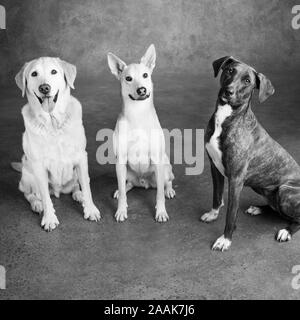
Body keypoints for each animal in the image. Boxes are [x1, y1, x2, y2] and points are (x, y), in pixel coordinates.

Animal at [12, 57, 101, 230]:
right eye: (34, 74)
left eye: (54, 71)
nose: (45, 88)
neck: (53, 123)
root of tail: (59, 191)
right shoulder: (38, 165)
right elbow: (46, 197)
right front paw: (49, 218)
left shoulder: (81, 157)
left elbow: (87, 188)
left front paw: (90, 210)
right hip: (28, 174)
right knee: (29, 194)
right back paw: (37, 204)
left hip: (74, 173)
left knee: (77, 185)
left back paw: (78, 194)